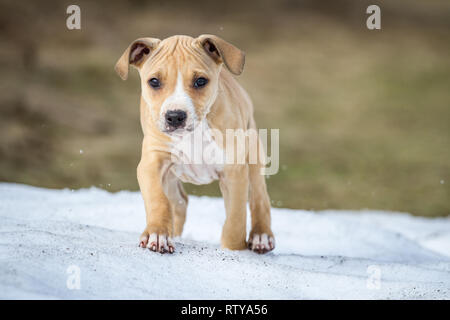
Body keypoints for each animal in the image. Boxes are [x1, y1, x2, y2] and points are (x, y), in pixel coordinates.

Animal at [115, 35, 274, 254]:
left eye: (200, 81)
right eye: (154, 81)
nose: (175, 116)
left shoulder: (234, 172)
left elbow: (235, 220)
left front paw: (233, 250)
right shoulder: (152, 163)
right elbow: (158, 199)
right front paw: (158, 234)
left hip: (253, 153)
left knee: (260, 197)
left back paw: (261, 236)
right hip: (170, 178)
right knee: (179, 202)